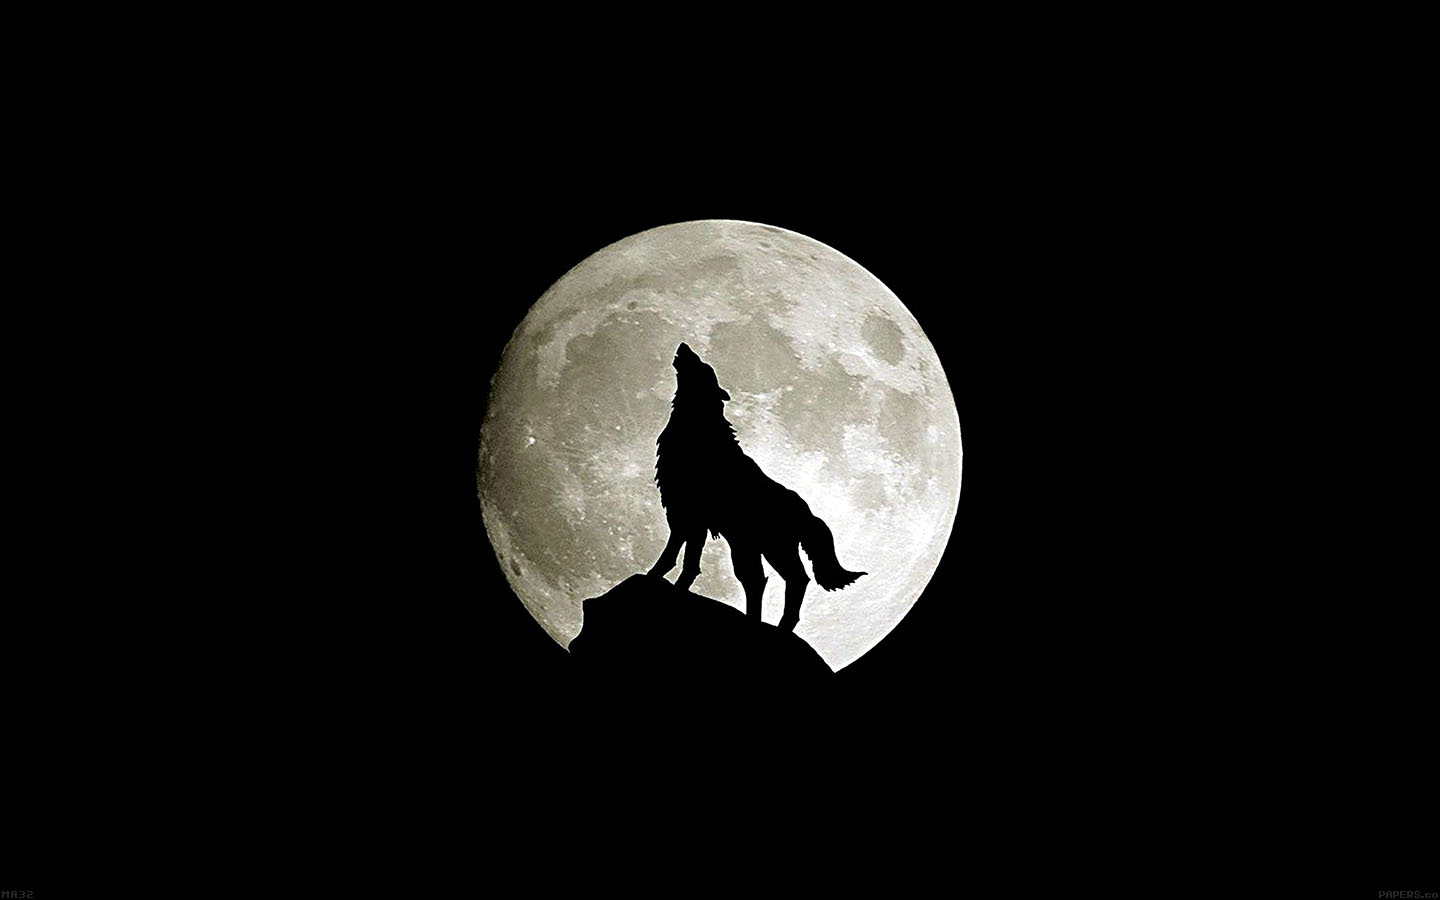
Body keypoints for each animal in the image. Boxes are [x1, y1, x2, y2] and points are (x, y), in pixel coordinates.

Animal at [647, 342, 865, 633]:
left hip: (770, 548)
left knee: (793, 579)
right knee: (758, 580)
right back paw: (760, 621)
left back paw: (780, 626)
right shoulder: (688, 518)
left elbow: (676, 556)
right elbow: (686, 559)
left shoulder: (689, 514)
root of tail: (807, 511)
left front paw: (655, 578)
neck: (699, 428)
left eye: (704, 366)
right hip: (748, 547)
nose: (684, 346)